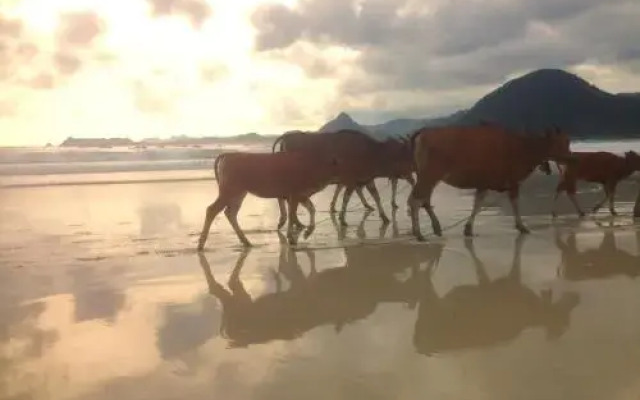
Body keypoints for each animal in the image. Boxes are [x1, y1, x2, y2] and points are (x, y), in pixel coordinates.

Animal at [196, 151, 340, 250]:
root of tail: (228, 155)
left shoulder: (300, 196)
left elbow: (311, 209)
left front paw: (306, 233)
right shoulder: (294, 195)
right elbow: (293, 214)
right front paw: (293, 238)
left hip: (239, 194)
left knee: (230, 213)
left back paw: (246, 242)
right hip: (229, 191)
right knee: (212, 210)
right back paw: (201, 244)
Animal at [410, 123, 576, 239]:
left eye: (568, 141)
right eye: (560, 142)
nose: (570, 157)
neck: (523, 147)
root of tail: (424, 132)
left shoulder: (483, 183)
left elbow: (477, 204)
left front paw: (468, 229)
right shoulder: (513, 181)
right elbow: (515, 203)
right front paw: (521, 226)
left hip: (427, 177)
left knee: (423, 199)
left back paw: (434, 228)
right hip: (430, 175)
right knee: (416, 199)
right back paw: (419, 234)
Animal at [412, 236, 584, 354]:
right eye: (565, 321)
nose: (577, 297)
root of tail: (417, 342)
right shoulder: (509, 283)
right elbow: (512, 263)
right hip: (431, 304)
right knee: (424, 280)